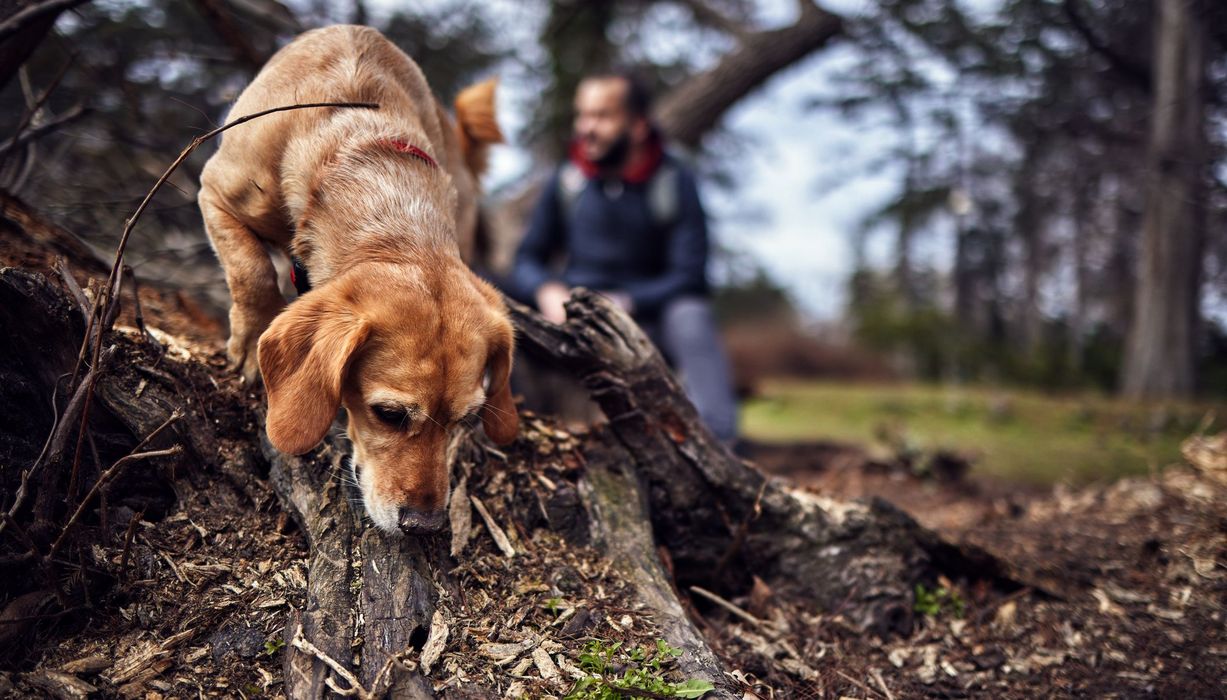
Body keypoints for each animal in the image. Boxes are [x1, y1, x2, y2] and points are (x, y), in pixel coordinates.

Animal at [198, 24, 515, 530]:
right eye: (388, 414)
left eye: (466, 420)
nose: (424, 525)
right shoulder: (215, 193)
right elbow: (252, 273)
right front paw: (248, 345)